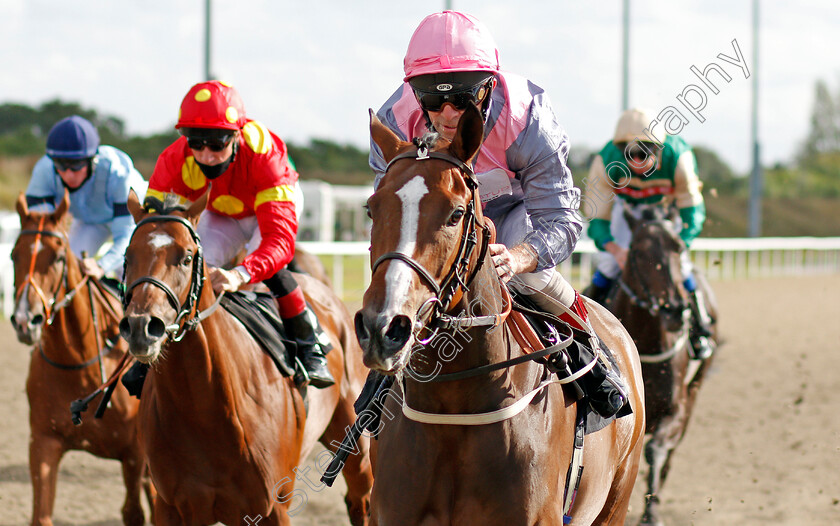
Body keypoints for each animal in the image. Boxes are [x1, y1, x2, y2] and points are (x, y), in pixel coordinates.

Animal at [10, 194, 152, 526]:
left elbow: (133, 512)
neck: (78, 363)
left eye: (59, 258)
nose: (25, 320)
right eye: (12, 255)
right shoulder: (43, 443)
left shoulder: (135, 452)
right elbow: (41, 515)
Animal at [118, 193, 370, 526]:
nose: (141, 327)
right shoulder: (171, 506)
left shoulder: (273, 507)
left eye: (186, 257)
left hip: (356, 444)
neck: (205, 410)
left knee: (360, 499)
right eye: (128, 256)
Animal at [600, 207, 720, 526]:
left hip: (695, 390)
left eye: (678, 247)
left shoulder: (674, 408)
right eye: (638, 251)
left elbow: (656, 451)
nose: (675, 310)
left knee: (670, 454)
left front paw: (651, 512)